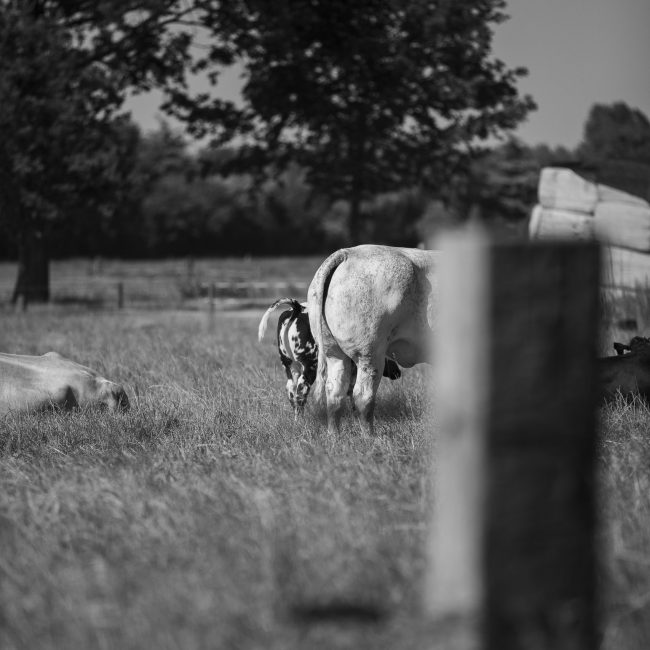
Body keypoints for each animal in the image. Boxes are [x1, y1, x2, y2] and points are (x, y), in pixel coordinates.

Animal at [256, 296, 400, 418]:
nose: (398, 373)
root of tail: (298, 308)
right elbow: (353, 391)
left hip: (289, 365)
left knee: (291, 389)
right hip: (310, 365)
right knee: (301, 390)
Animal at [306, 246, 438, 432]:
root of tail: (347, 252)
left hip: (333, 351)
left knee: (334, 393)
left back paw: (334, 435)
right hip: (369, 353)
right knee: (362, 396)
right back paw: (370, 436)